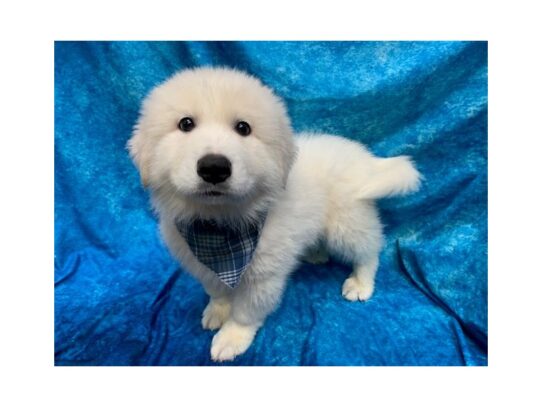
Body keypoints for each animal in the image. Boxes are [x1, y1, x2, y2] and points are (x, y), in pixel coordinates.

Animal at [127, 67, 420, 364]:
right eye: (186, 124)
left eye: (243, 128)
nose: (214, 167)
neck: (218, 229)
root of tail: (363, 158)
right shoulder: (202, 264)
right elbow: (217, 291)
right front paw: (217, 311)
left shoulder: (263, 277)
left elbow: (246, 311)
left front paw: (232, 337)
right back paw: (315, 253)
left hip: (346, 223)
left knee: (369, 251)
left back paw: (361, 283)